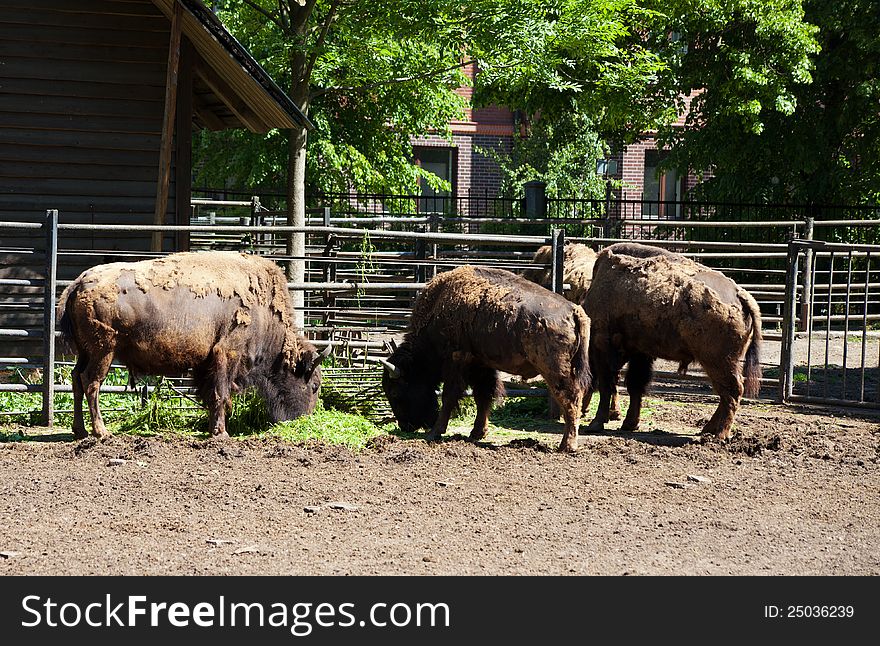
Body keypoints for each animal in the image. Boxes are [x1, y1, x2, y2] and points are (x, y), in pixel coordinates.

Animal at [55, 252, 330, 440]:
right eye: (314, 385)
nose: (305, 418)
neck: (264, 312)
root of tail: (79, 282)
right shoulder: (227, 354)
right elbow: (221, 394)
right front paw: (221, 433)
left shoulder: (206, 362)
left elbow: (210, 394)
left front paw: (212, 429)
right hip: (104, 351)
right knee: (91, 383)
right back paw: (101, 432)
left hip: (85, 352)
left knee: (76, 379)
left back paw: (79, 431)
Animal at [380, 266, 592, 454]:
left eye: (395, 392)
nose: (406, 426)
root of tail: (574, 310)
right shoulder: (480, 364)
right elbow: (483, 396)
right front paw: (477, 433)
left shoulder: (456, 360)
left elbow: (450, 396)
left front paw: (434, 433)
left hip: (555, 370)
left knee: (570, 399)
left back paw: (567, 446)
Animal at [580, 240, 760, 442]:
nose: (582, 411)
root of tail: (740, 295)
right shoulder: (640, 353)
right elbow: (634, 384)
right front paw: (630, 424)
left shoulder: (603, 346)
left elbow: (607, 385)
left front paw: (595, 424)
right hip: (720, 363)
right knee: (725, 394)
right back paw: (707, 430)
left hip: (718, 362)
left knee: (732, 391)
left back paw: (719, 435)